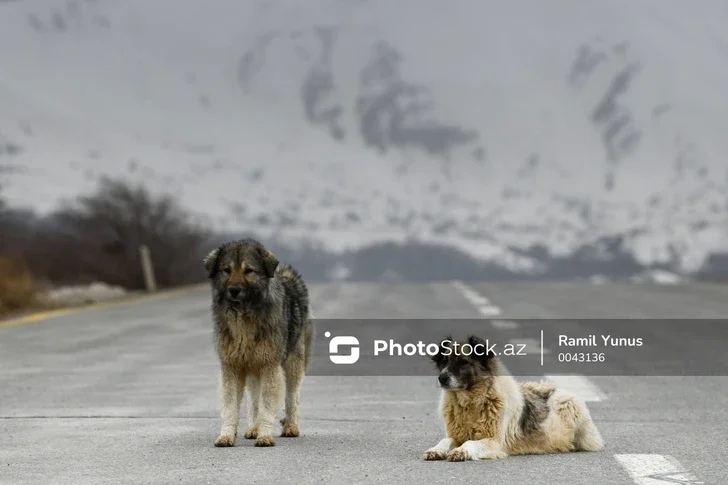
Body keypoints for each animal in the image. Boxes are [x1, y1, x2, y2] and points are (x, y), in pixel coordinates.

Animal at [202, 237, 312, 446]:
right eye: (226, 270)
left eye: (249, 271)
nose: (234, 290)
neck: (244, 315)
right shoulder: (232, 366)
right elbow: (231, 407)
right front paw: (226, 436)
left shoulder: (269, 365)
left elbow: (267, 404)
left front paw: (265, 436)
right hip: (253, 368)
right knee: (254, 400)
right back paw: (253, 429)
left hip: (293, 363)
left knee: (292, 396)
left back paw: (290, 427)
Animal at [424, 334, 600, 460]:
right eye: (445, 361)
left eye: (463, 362)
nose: (441, 378)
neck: (472, 402)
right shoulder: (455, 436)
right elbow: (446, 440)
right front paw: (436, 450)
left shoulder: (495, 441)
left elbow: (470, 443)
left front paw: (460, 451)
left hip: (569, 407)